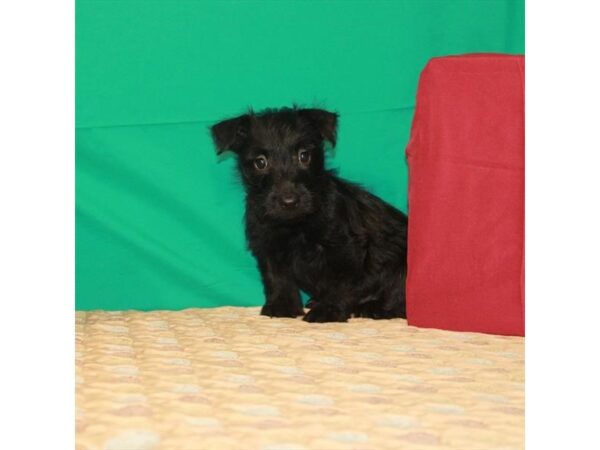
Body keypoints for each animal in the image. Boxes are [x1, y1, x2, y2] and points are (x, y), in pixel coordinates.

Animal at [211, 107, 408, 322]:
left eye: (304, 156)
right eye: (260, 162)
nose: (289, 201)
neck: (294, 225)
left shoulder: (346, 247)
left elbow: (338, 282)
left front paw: (328, 310)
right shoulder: (268, 246)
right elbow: (277, 278)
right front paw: (282, 306)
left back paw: (374, 307)